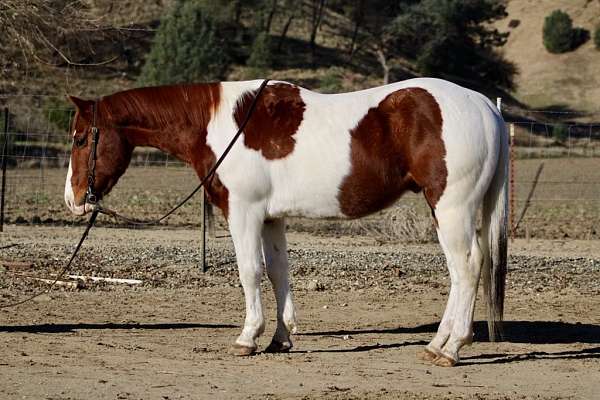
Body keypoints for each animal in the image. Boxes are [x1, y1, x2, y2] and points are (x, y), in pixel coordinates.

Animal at [64, 77, 506, 366]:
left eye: (81, 138)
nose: (73, 200)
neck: (220, 125)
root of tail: (486, 108)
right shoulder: (270, 217)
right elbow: (278, 272)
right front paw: (281, 338)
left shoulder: (243, 212)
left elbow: (249, 272)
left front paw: (247, 338)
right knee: (463, 271)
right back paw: (437, 344)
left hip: (451, 208)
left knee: (466, 268)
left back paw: (452, 348)